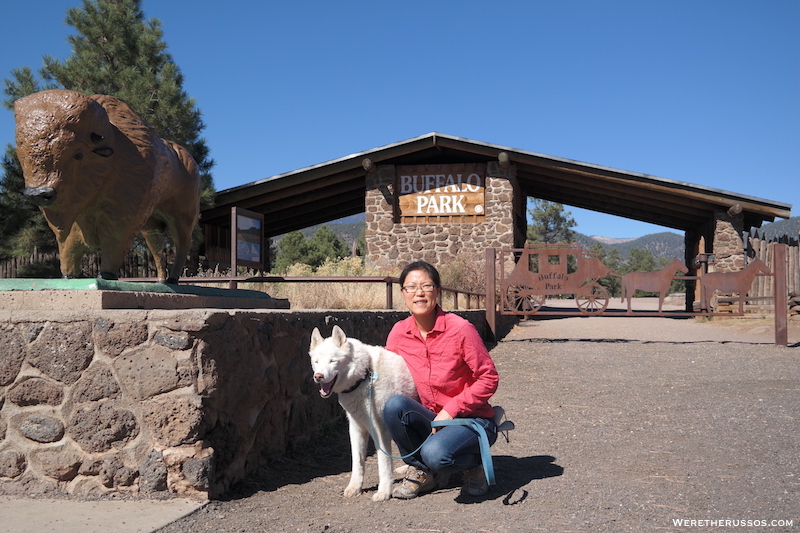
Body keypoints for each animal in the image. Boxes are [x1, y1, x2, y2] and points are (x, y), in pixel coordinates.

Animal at [308, 322, 418, 500]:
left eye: (332, 361)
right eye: (316, 362)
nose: (318, 376)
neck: (365, 375)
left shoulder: (380, 431)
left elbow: (383, 463)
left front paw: (384, 491)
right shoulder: (356, 428)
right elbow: (357, 462)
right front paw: (355, 488)